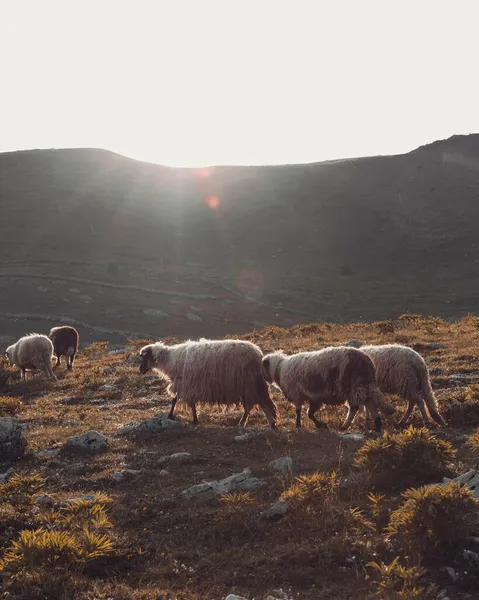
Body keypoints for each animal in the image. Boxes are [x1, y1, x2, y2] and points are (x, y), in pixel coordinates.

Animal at [139, 338, 278, 426]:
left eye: (144, 357)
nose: (140, 370)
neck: (169, 359)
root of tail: (259, 355)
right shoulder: (186, 385)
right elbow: (184, 402)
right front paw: (193, 418)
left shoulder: (184, 383)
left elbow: (176, 400)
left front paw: (172, 416)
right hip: (249, 386)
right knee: (257, 404)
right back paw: (267, 423)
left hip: (250, 384)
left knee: (256, 405)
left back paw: (248, 422)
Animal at [260, 346, 396, 432]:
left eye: (263, 366)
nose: (264, 379)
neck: (279, 369)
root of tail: (368, 362)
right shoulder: (314, 397)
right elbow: (309, 413)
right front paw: (319, 425)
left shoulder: (297, 394)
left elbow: (300, 412)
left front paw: (300, 425)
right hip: (364, 386)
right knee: (370, 403)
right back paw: (377, 425)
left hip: (353, 387)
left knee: (355, 408)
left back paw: (345, 426)